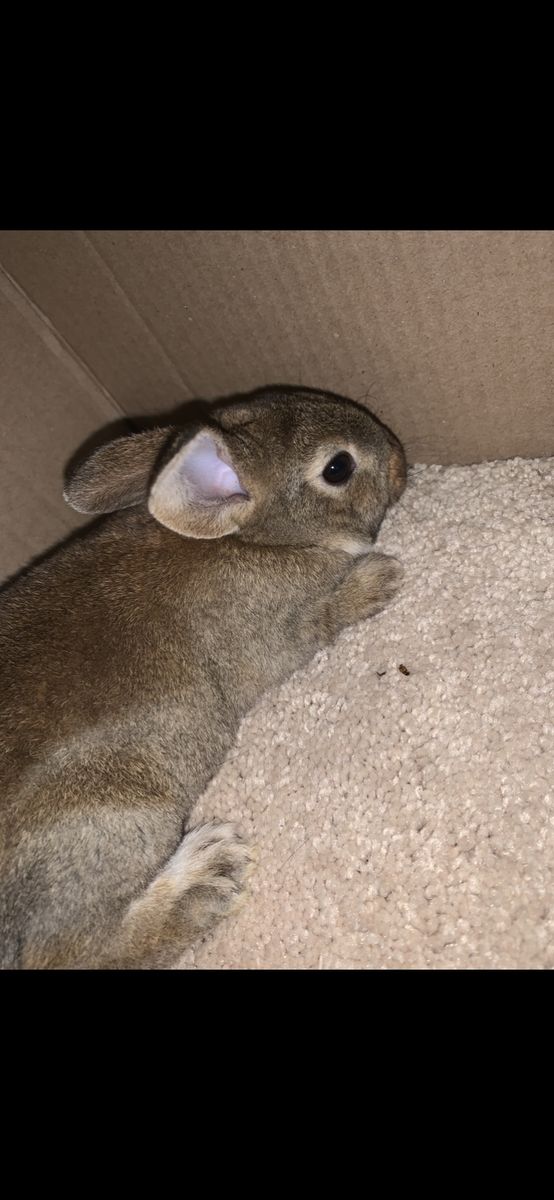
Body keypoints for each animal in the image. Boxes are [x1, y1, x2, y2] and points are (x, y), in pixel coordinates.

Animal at [0, 387, 406, 969]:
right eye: (338, 467)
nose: (399, 457)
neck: (255, 540)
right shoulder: (283, 633)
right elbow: (327, 615)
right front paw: (382, 578)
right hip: (117, 815)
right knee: (71, 950)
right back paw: (208, 874)